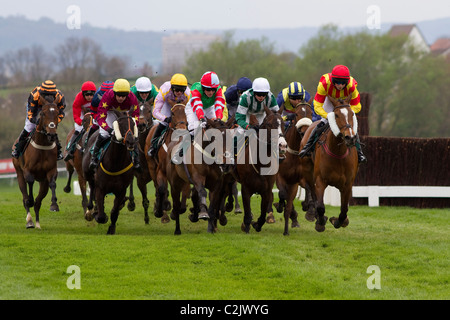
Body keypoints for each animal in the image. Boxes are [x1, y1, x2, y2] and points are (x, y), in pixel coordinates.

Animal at [12, 99, 60, 229]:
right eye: (43, 113)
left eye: (57, 113)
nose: (52, 134)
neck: (43, 145)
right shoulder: (28, 170)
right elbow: (30, 182)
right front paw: (30, 201)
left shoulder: (51, 170)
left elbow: (53, 183)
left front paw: (54, 205)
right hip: (19, 174)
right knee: (24, 197)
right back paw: (30, 221)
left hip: (43, 183)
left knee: (39, 202)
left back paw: (38, 223)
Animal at [234, 106, 286, 234]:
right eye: (269, 124)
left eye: (283, 124)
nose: (282, 145)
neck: (260, 163)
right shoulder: (245, 188)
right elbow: (247, 211)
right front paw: (247, 225)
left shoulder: (266, 189)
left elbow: (263, 213)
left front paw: (257, 224)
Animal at [270, 99, 316, 235]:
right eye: (296, 114)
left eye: (311, 112)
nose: (305, 131)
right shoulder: (280, 177)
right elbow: (282, 194)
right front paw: (280, 206)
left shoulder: (300, 178)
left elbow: (308, 189)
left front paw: (309, 209)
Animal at [300, 95, 360, 232]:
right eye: (336, 115)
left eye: (352, 113)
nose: (350, 137)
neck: (338, 153)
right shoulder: (320, 180)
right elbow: (320, 206)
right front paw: (321, 222)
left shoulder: (347, 184)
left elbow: (344, 209)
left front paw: (338, 221)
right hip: (308, 171)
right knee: (312, 193)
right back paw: (313, 214)